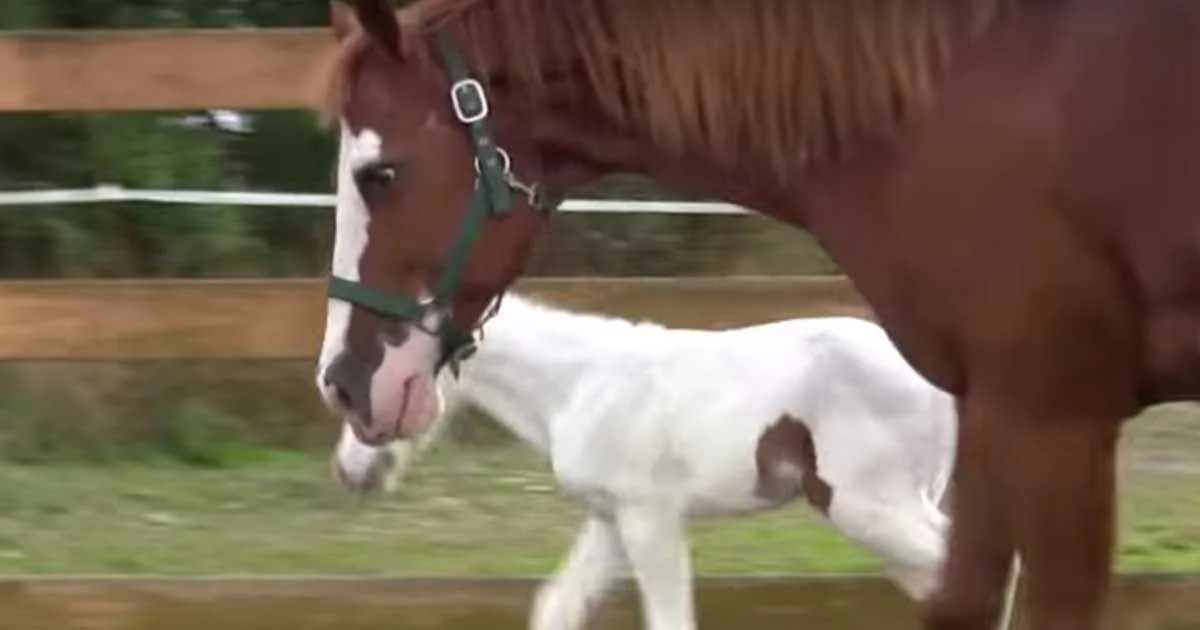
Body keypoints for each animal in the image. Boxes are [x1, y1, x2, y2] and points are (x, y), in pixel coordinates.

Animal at [331, 292, 1021, 630]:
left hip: (867, 506)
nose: (348, 473)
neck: (577, 385)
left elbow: (669, 619)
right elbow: (557, 607)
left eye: (367, 384)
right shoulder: (610, 521)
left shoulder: (649, 517)